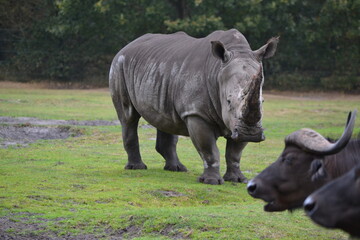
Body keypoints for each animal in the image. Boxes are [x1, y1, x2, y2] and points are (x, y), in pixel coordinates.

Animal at [109, 29, 278, 185]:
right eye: (229, 101)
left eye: (262, 101)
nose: (251, 134)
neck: (217, 71)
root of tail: (127, 46)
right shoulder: (196, 113)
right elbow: (209, 149)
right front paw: (211, 181)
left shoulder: (237, 123)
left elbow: (235, 152)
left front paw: (237, 179)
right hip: (119, 65)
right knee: (128, 116)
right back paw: (136, 167)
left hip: (161, 70)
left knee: (165, 118)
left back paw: (177, 168)